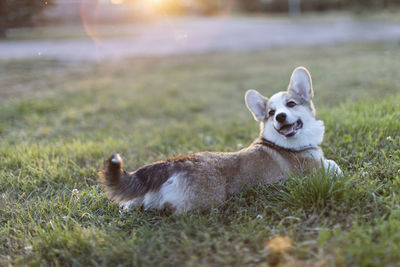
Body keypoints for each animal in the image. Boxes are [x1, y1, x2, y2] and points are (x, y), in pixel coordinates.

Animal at [99, 67, 340, 216]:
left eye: (291, 104)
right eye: (271, 113)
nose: (280, 117)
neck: (284, 142)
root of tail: (174, 163)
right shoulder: (317, 170)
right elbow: (335, 167)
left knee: (133, 201)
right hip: (207, 201)